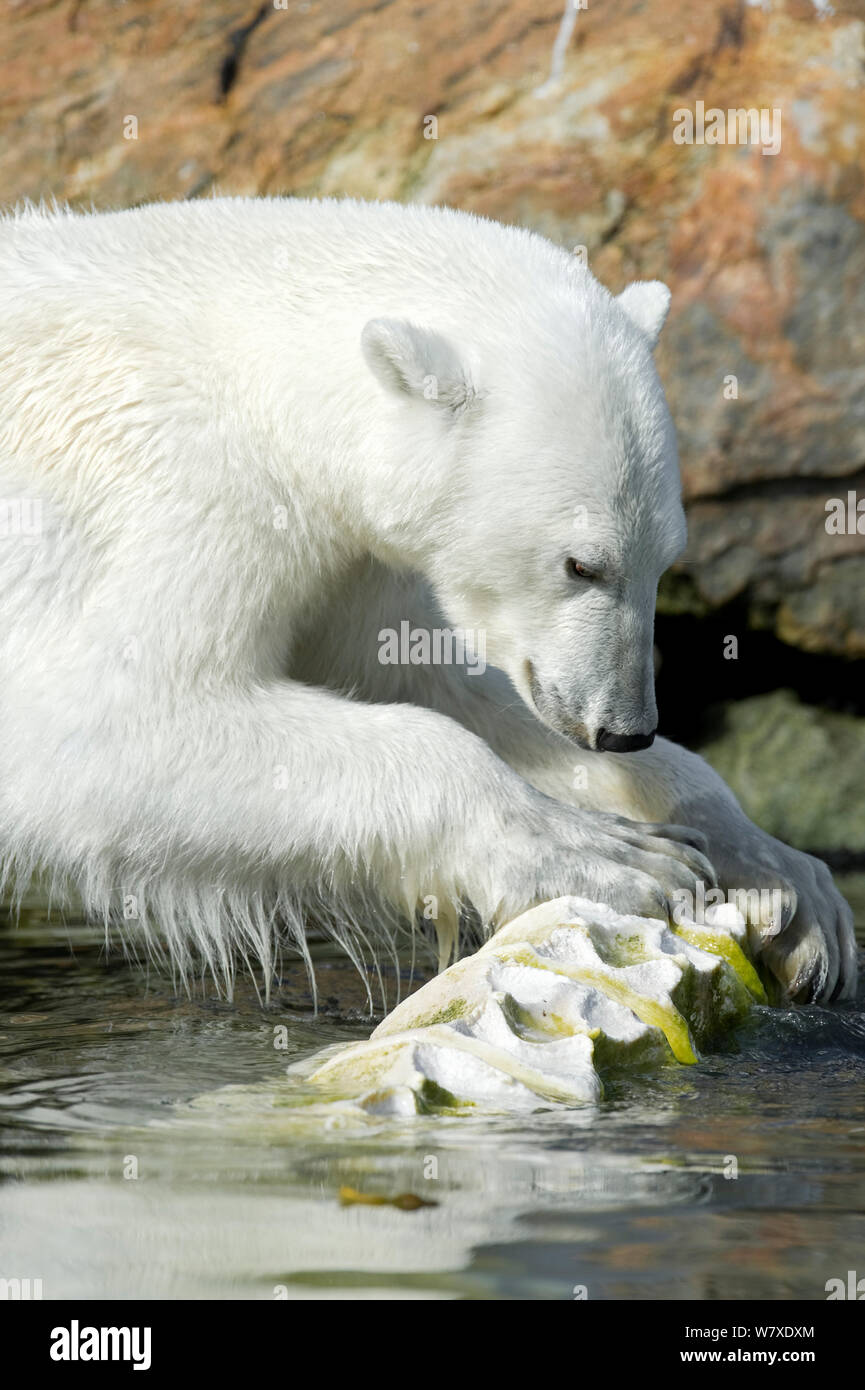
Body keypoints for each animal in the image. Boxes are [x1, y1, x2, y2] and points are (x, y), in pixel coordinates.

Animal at [0, 195, 855, 1006]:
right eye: (581, 564)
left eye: (666, 559)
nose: (622, 730)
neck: (252, 379)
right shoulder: (158, 493)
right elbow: (108, 720)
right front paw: (619, 857)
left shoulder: (352, 561)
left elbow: (424, 671)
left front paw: (784, 885)